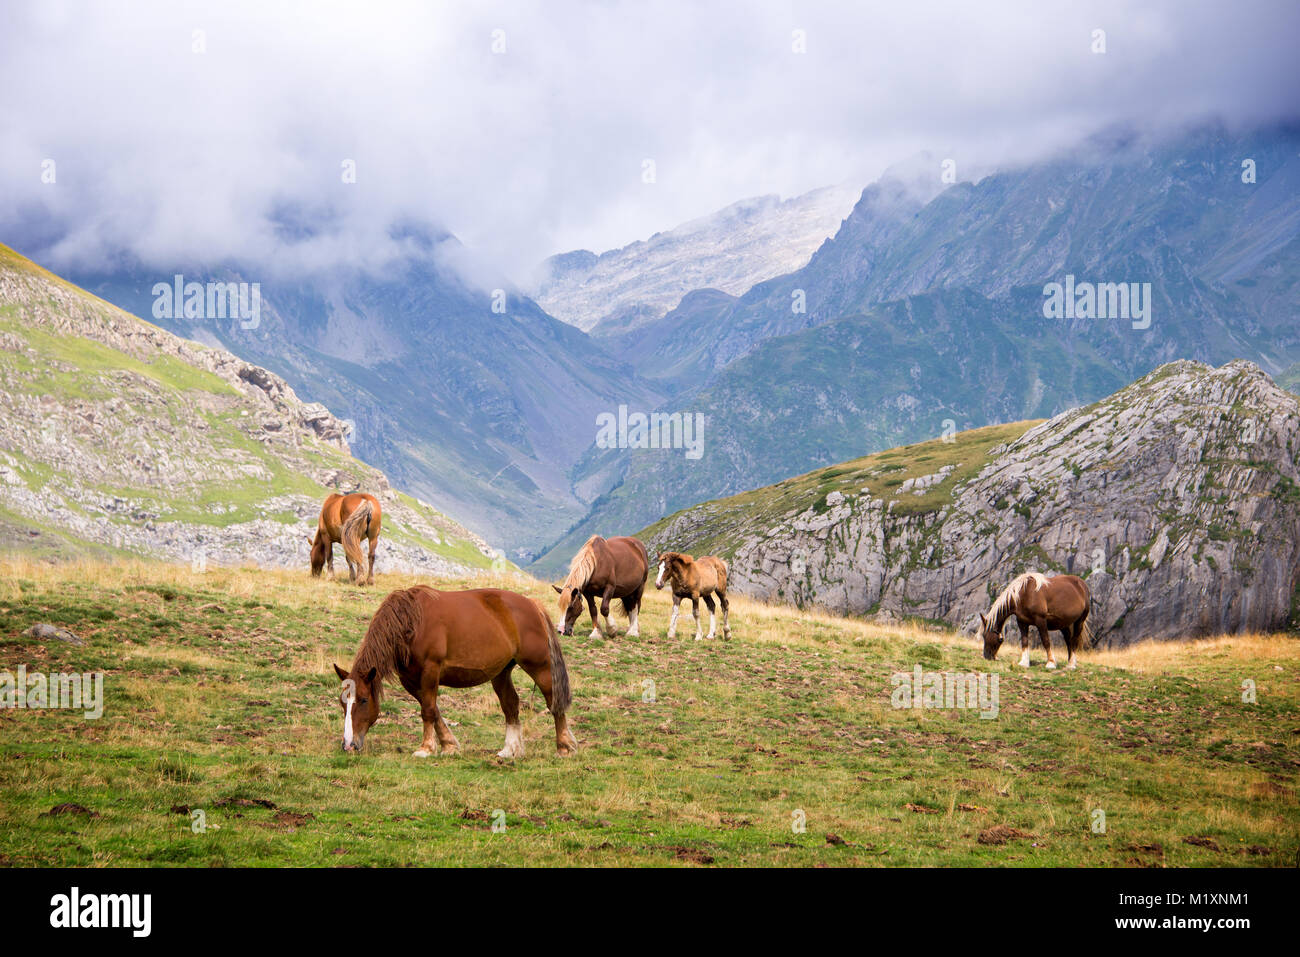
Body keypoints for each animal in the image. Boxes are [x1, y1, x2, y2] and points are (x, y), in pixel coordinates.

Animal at [332, 585, 577, 758]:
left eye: (364, 700)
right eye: (343, 703)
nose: (348, 745)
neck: (411, 622)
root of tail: (532, 605)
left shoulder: (431, 671)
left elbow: (428, 711)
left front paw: (426, 748)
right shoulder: (410, 680)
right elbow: (432, 709)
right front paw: (448, 745)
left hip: (540, 667)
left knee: (554, 702)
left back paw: (564, 746)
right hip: (501, 673)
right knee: (511, 705)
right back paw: (510, 749)